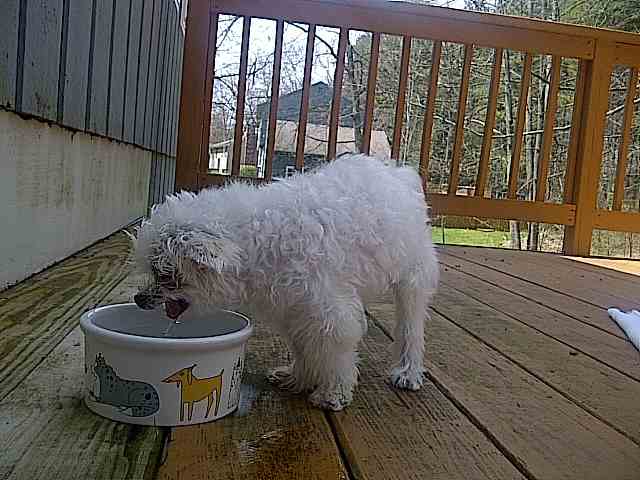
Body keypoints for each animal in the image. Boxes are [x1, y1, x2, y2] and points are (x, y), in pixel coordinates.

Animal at [130, 156, 440, 410]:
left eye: (165, 275)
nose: (139, 299)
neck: (257, 240)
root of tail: (398, 172)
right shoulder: (293, 310)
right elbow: (304, 347)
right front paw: (298, 377)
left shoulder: (328, 311)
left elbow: (337, 350)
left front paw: (333, 393)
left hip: (413, 278)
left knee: (411, 328)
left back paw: (408, 371)